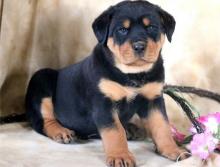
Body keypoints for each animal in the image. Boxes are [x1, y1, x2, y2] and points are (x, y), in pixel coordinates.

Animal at [25, 0, 187, 166]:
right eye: (122, 30)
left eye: (152, 27)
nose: (139, 46)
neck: (132, 74)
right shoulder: (104, 104)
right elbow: (115, 131)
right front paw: (121, 156)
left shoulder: (153, 100)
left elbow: (162, 126)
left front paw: (173, 150)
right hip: (41, 78)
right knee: (43, 121)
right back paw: (61, 131)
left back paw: (130, 128)